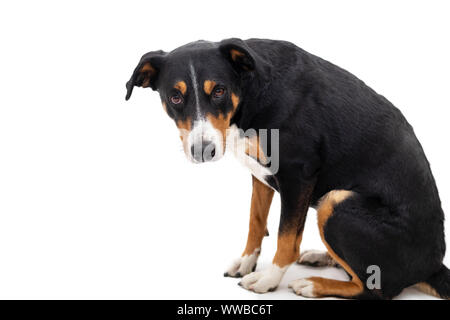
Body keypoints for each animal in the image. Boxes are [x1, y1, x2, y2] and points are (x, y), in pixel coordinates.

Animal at [125, 38, 448, 300]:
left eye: (219, 90)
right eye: (175, 97)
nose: (203, 150)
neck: (251, 95)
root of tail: (431, 266)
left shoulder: (297, 175)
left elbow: (286, 238)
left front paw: (268, 279)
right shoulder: (260, 175)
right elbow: (256, 222)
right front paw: (247, 262)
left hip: (335, 201)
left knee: (376, 289)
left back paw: (313, 284)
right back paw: (322, 257)